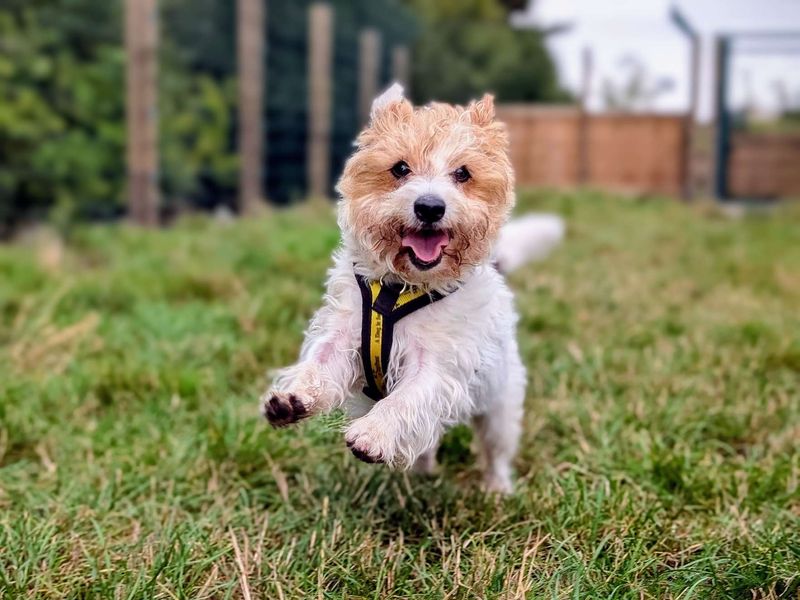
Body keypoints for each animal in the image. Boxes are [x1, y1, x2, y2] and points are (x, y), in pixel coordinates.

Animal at [262, 84, 564, 492]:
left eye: (463, 173)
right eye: (400, 169)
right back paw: (421, 473)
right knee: (425, 444)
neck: (401, 288)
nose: (430, 207)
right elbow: (319, 364)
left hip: (500, 407)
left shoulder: (438, 366)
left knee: (495, 451)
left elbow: (405, 399)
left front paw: (372, 434)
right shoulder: (344, 334)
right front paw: (290, 398)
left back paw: (497, 489)